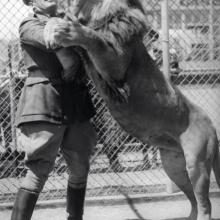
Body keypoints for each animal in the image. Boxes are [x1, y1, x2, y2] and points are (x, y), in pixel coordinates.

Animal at [43, 0, 220, 219]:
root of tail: (212, 126)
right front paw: (52, 27)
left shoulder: (116, 66)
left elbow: (93, 38)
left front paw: (71, 29)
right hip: (174, 165)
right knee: (193, 200)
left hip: (197, 164)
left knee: (205, 205)